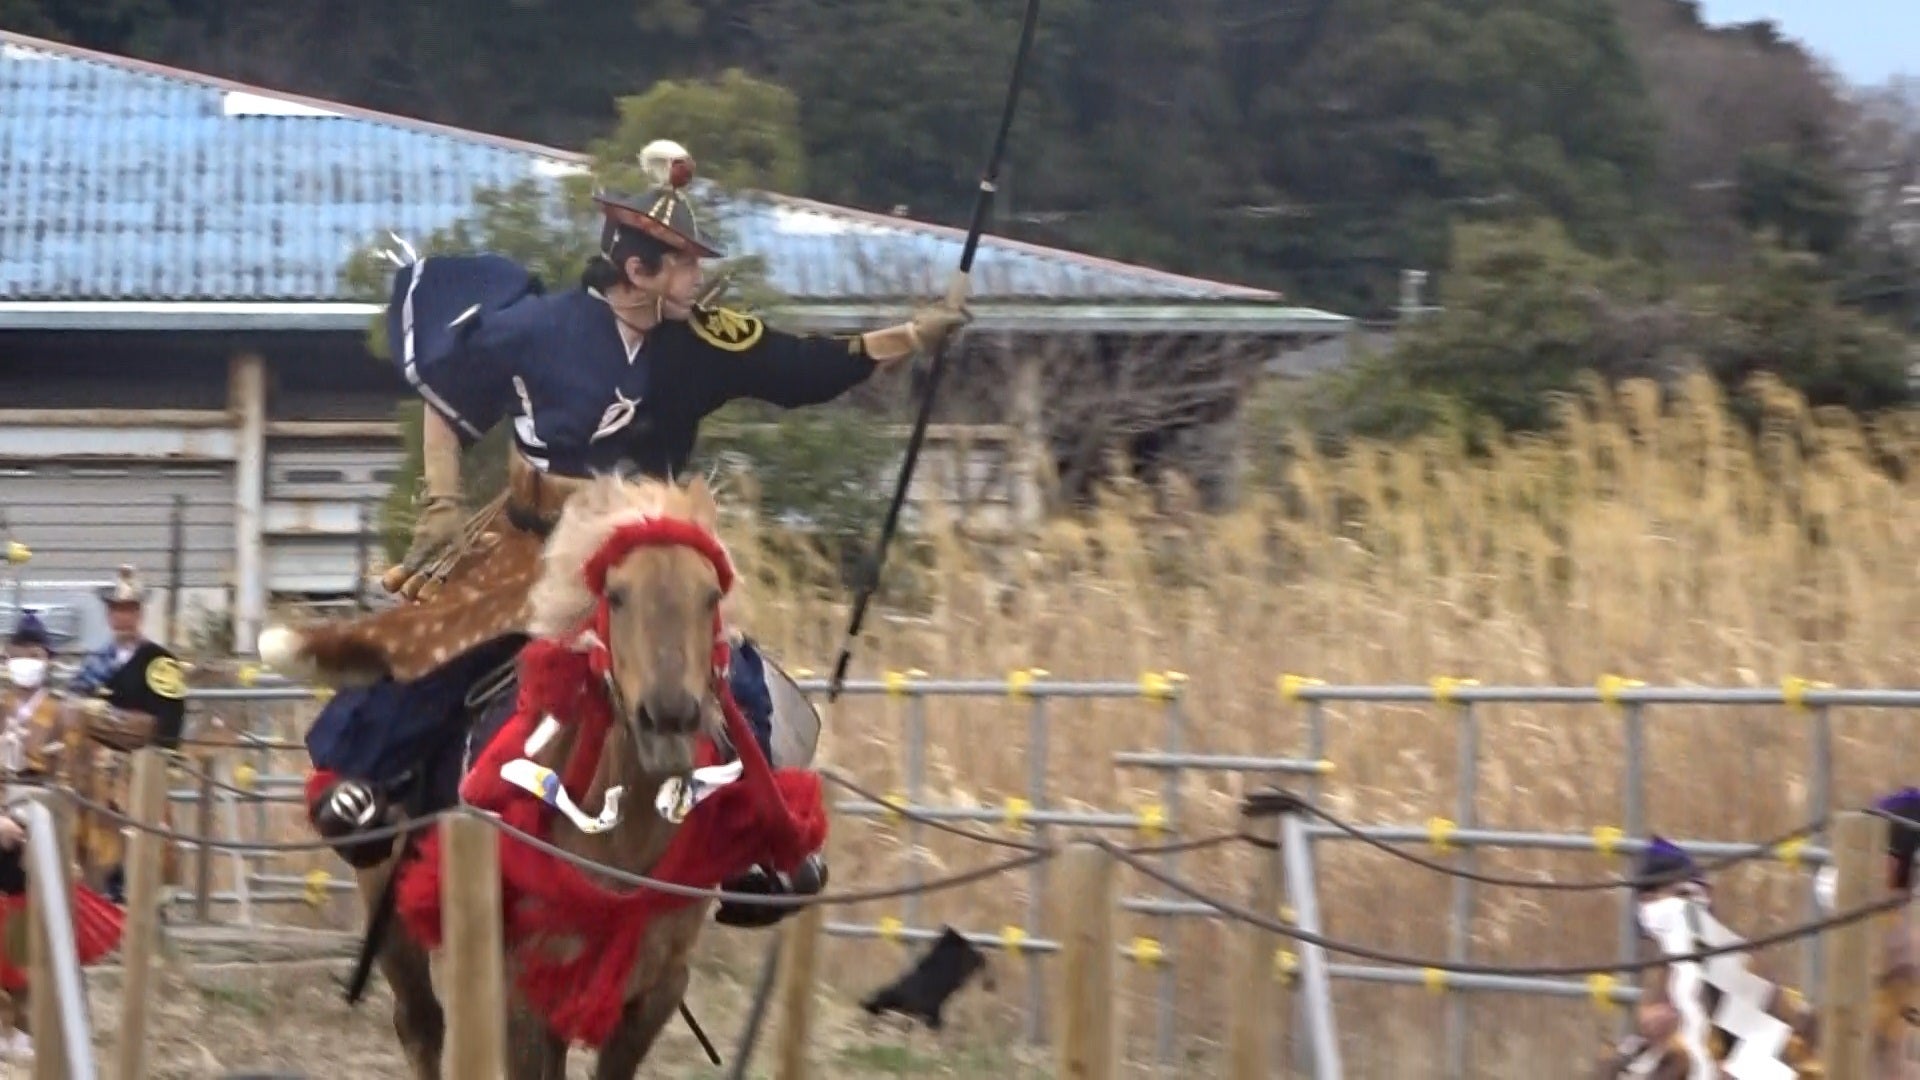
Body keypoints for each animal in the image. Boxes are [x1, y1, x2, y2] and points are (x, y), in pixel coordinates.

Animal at [357, 472, 828, 1079]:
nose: (668, 718)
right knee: (420, 1024)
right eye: (617, 596)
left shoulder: (654, 992)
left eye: (711, 597)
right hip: (389, 907)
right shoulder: (527, 990)